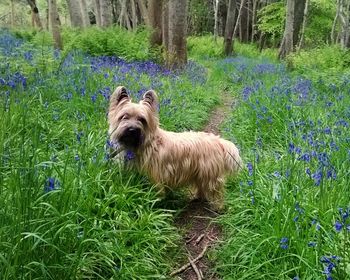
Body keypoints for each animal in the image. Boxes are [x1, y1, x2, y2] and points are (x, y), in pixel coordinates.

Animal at [108, 85, 242, 210]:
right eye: (124, 116)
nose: (132, 129)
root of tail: (218, 141)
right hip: (199, 172)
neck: (145, 143)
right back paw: (197, 197)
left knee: (215, 190)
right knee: (201, 186)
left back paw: (218, 206)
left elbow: (156, 192)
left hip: (210, 174)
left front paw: (154, 203)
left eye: (142, 119)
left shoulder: (155, 176)